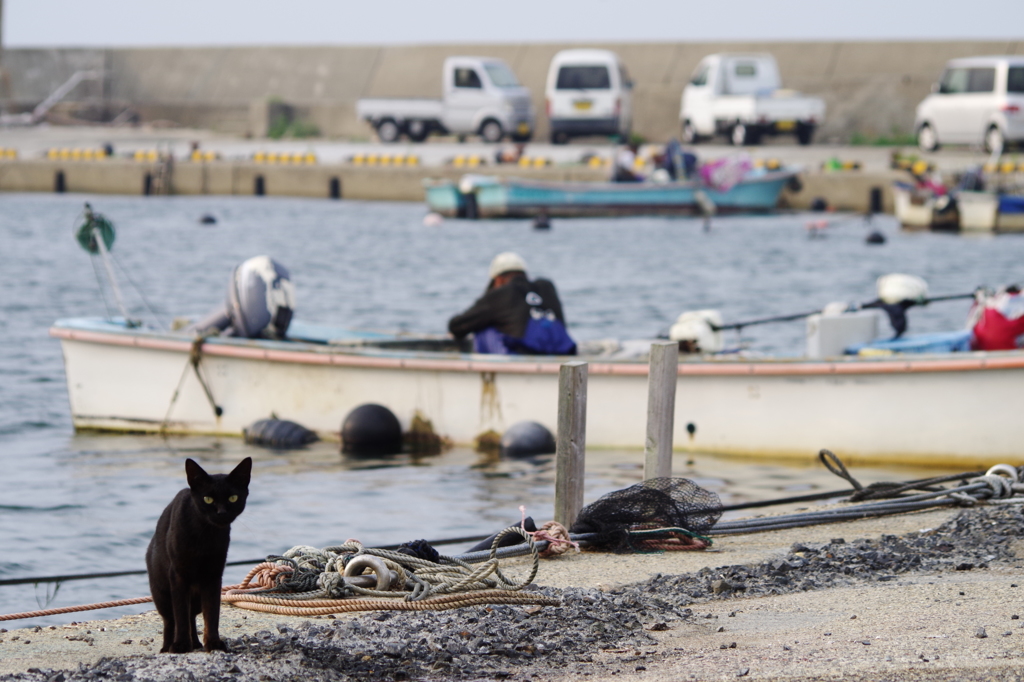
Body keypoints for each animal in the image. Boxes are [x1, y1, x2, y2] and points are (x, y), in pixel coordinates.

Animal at [146, 454, 251, 651]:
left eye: (233, 498)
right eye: (208, 499)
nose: (221, 512)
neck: (205, 536)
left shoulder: (213, 575)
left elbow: (212, 613)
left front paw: (213, 643)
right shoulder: (178, 574)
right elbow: (180, 613)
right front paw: (180, 645)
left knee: (192, 617)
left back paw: (195, 643)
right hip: (161, 594)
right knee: (171, 620)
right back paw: (168, 647)